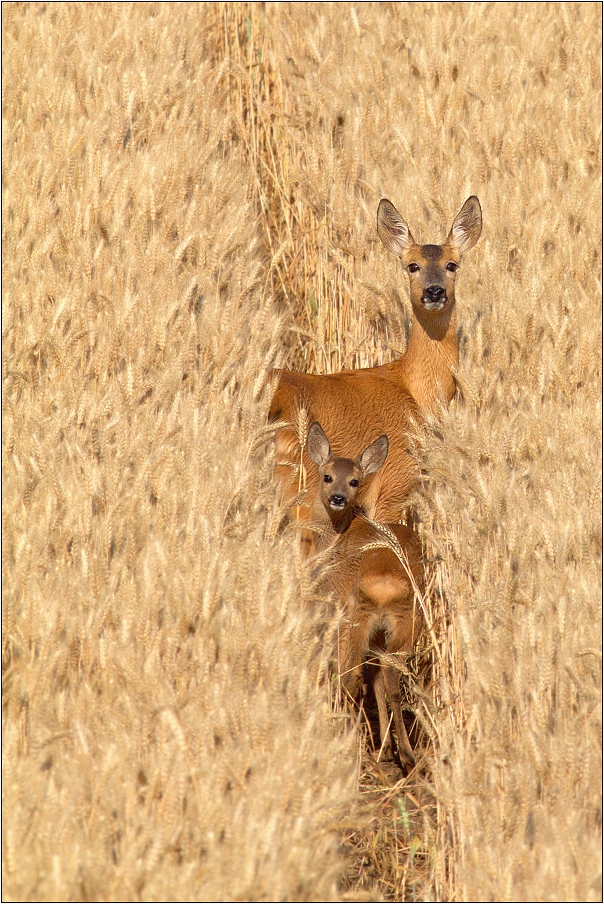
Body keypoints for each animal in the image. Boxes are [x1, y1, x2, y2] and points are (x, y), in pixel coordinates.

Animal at [268, 198, 482, 524]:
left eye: (452, 264)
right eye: (412, 266)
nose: (434, 291)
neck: (415, 393)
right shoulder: (395, 481)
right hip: (300, 484)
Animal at [306, 420, 424, 768]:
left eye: (355, 480)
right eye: (328, 475)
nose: (338, 497)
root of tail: (386, 582)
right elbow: (378, 682)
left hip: (356, 617)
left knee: (355, 676)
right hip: (407, 620)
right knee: (388, 675)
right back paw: (401, 753)